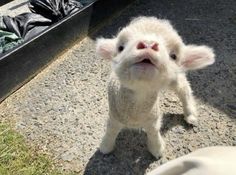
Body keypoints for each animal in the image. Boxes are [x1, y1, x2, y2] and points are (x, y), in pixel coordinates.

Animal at [95, 16, 215, 159]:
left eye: (173, 56)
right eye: (120, 47)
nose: (148, 44)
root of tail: (154, 19)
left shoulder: (153, 118)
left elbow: (153, 132)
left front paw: (157, 149)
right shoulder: (114, 115)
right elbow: (111, 130)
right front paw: (106, 146)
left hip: (175, 77)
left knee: (183, 88)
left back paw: (190, 114)